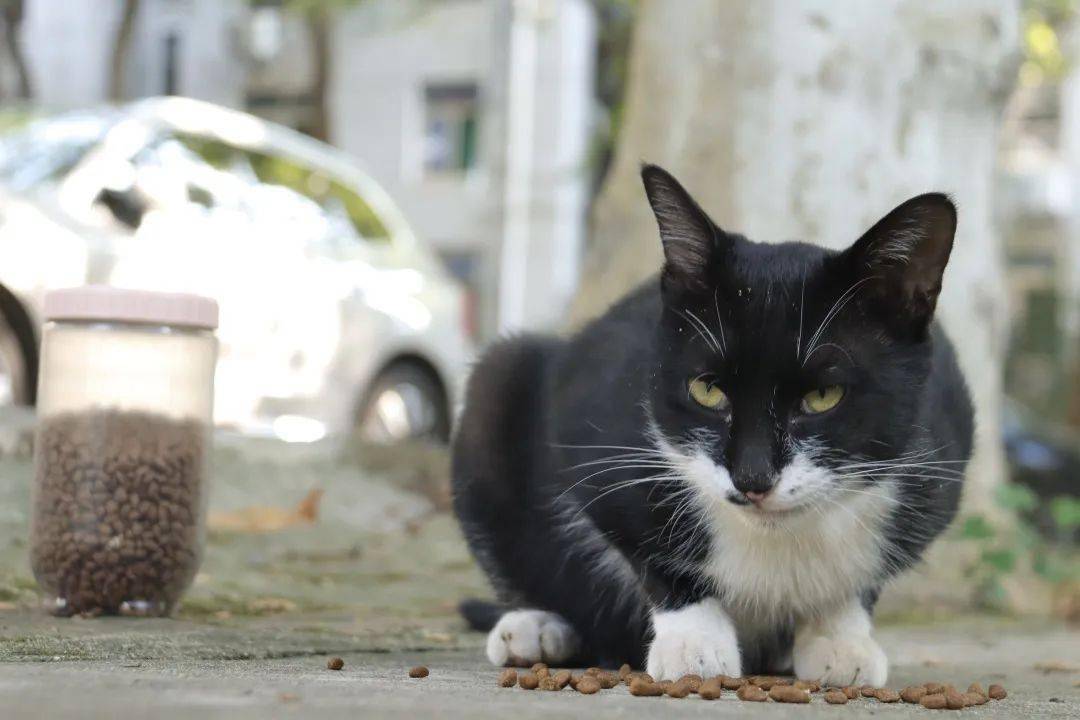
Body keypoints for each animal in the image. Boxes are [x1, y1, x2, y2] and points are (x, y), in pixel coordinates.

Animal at [451, 165, 976, 686]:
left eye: (823, 396)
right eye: (707, 390)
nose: (752, 477)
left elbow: (862, 578)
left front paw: (838, 637)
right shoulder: (592, 432)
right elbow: (653, 550)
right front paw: (695, 644)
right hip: (496, 388)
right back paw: (536, 627)